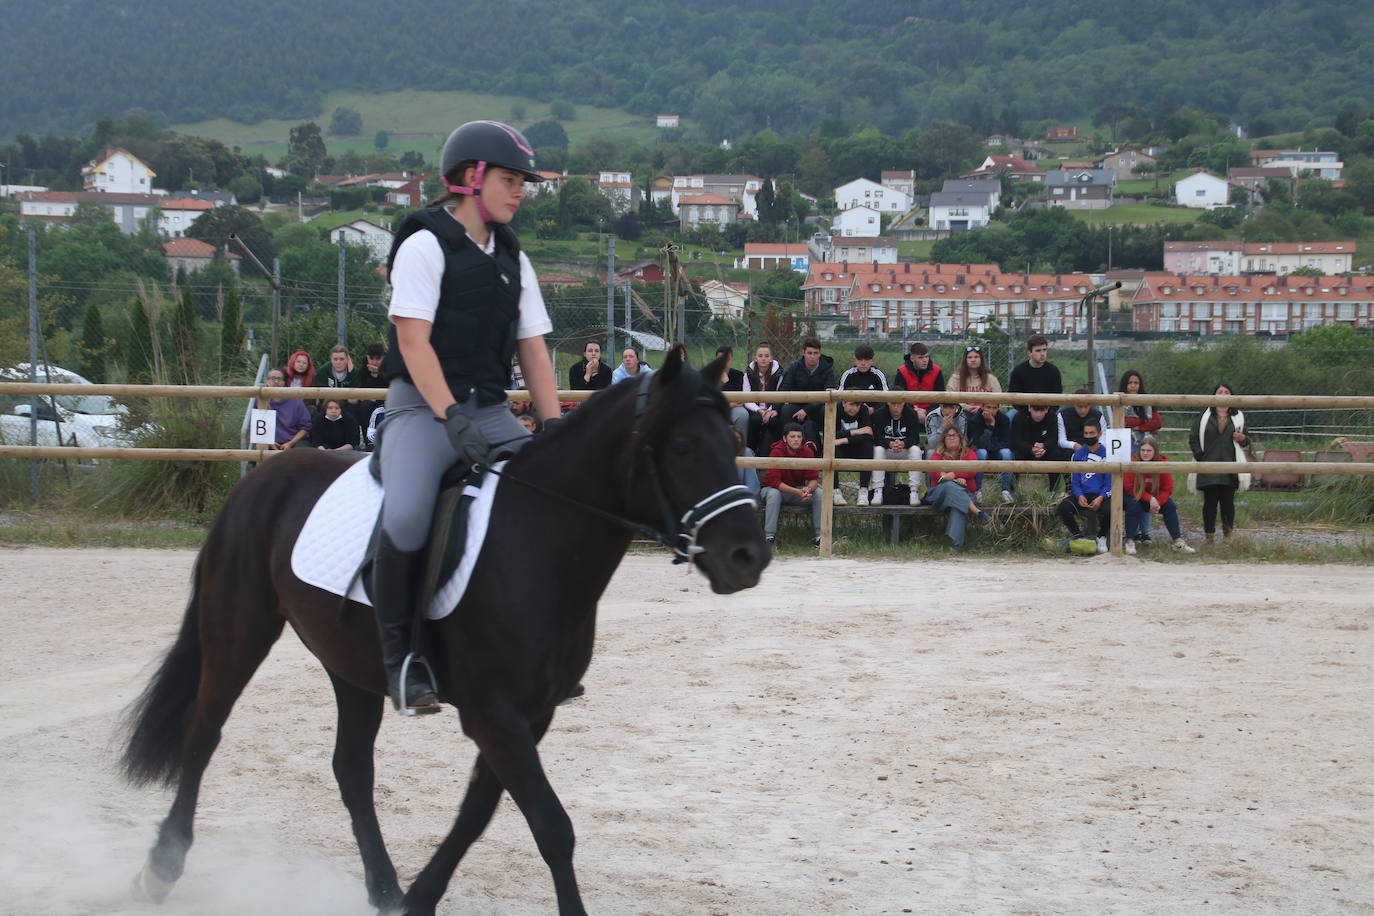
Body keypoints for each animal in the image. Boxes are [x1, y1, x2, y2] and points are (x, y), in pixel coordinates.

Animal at [122, 347, 769, 911]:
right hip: (240, 632)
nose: (748, 558)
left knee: (351, 769)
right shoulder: (495, 714)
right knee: (204, 733)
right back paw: (160, 868)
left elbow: (476, 816)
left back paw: (383, 890)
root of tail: (261, 478)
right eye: (682, 447)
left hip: (349, 664)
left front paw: (417, 900)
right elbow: (552, 827)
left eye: (736, 442)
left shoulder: (529, 714)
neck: (540, 540)